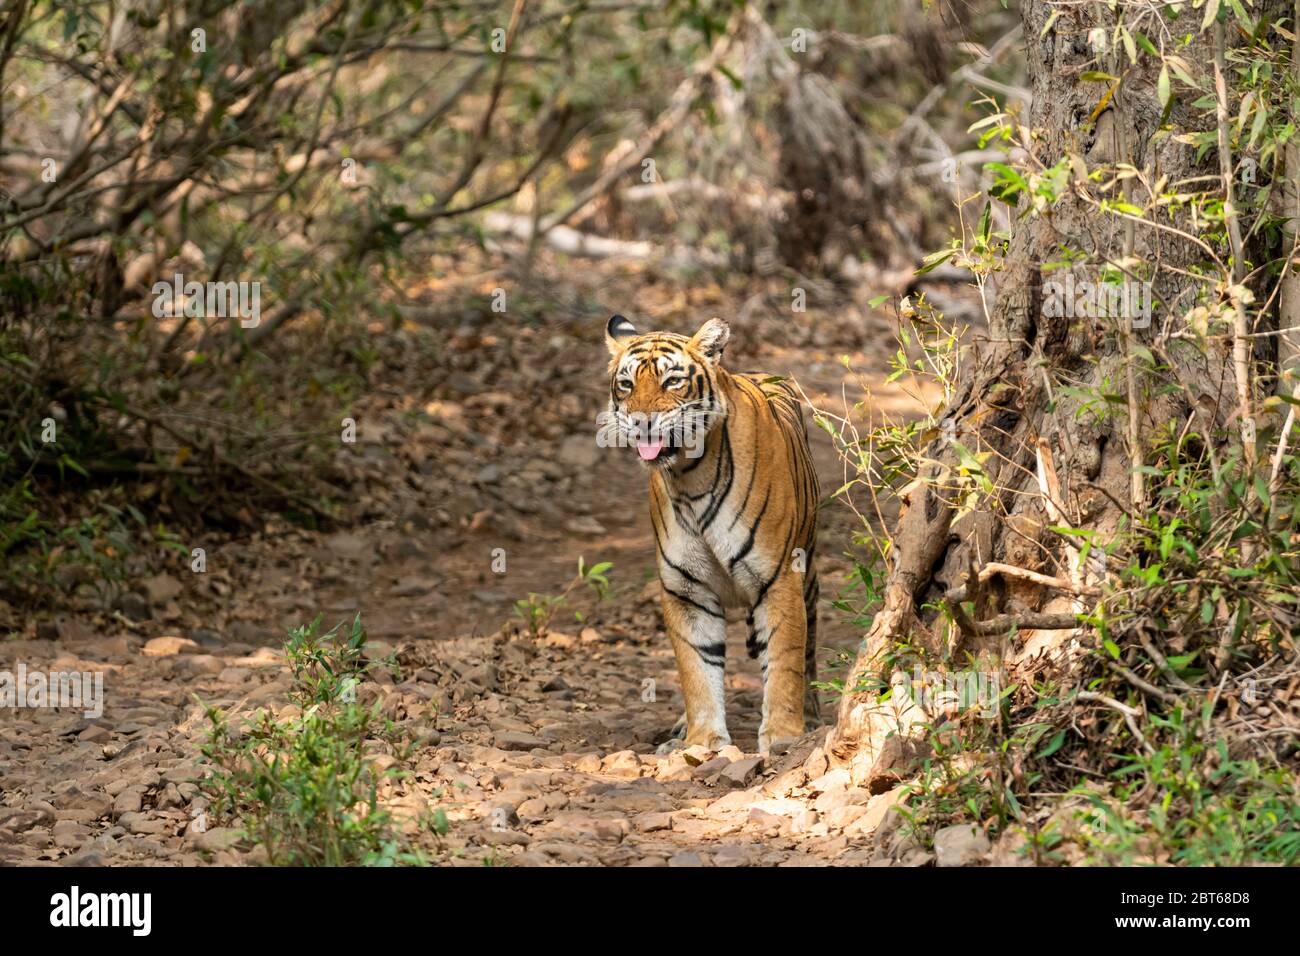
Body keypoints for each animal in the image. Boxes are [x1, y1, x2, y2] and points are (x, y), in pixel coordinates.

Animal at [600, 314, 821, 754]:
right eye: (627, 384)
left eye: (672, 381)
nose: (641, 422)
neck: (689, 475)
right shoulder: (686, 589)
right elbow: (697, 667)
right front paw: (702, 741)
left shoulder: (779, 578)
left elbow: (785, 658)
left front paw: (783, 738)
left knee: (808, 648)